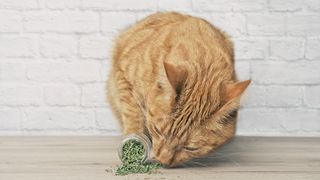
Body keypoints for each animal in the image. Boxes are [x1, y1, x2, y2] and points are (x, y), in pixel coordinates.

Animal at [107, 11, 250, 167]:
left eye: (191, 148)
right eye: (157, 130)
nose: (163, 160)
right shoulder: (122, 74)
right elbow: (132, 113)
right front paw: (134, 137)